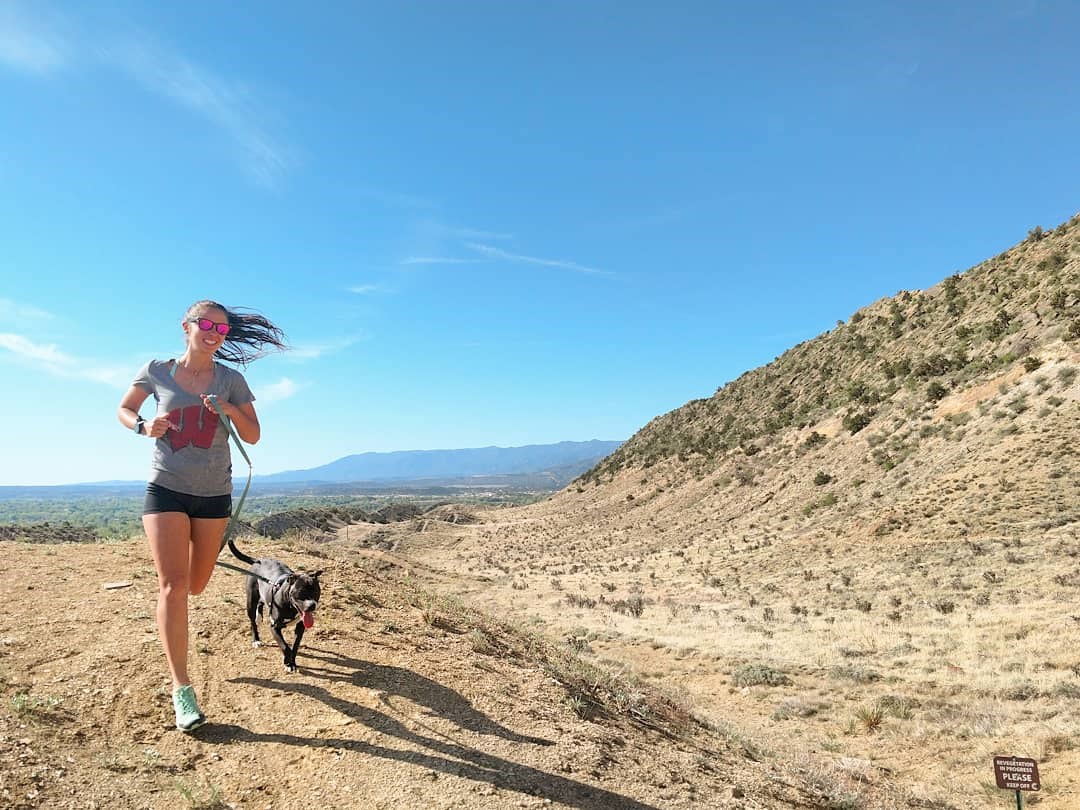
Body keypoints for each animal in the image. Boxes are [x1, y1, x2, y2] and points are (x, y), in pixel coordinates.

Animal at [226, 540, 319, 673]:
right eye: (301, 593)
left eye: (316, 591)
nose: (312, 605)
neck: (290, 605)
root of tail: (258, 561)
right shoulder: (274, 627)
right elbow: (286, 647)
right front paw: (287, 661)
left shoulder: (300, 627)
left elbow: (294, 647)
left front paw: (292, 663)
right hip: (251, 601)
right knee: (252, 621)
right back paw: (256, 639)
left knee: (261, 602)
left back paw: (259, 617)